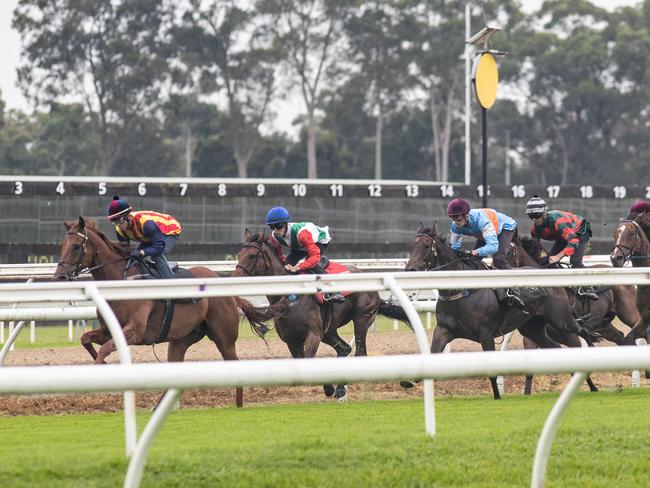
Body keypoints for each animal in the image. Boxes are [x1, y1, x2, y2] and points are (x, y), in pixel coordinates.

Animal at [53, 219, 270, 406]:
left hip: (224, 338)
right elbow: (86, 339)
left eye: (76, 246)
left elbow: (105, 348)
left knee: (235, 363)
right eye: (62, 245)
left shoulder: (135, 331)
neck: (122, 283)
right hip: (181, 340)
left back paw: (238, 406)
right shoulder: (108, 330)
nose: (59, 277)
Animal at [404, 225, 596, 400]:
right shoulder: (444, 329)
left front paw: (497, 396)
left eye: (426, 245)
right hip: (532, 328)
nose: (410, 270)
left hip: (561, 319)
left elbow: (491, 367)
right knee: (557, 349)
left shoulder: (485, 332)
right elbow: (432, 353)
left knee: (581, 332)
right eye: (411, 246)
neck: (460, 291)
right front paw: (409, 380)